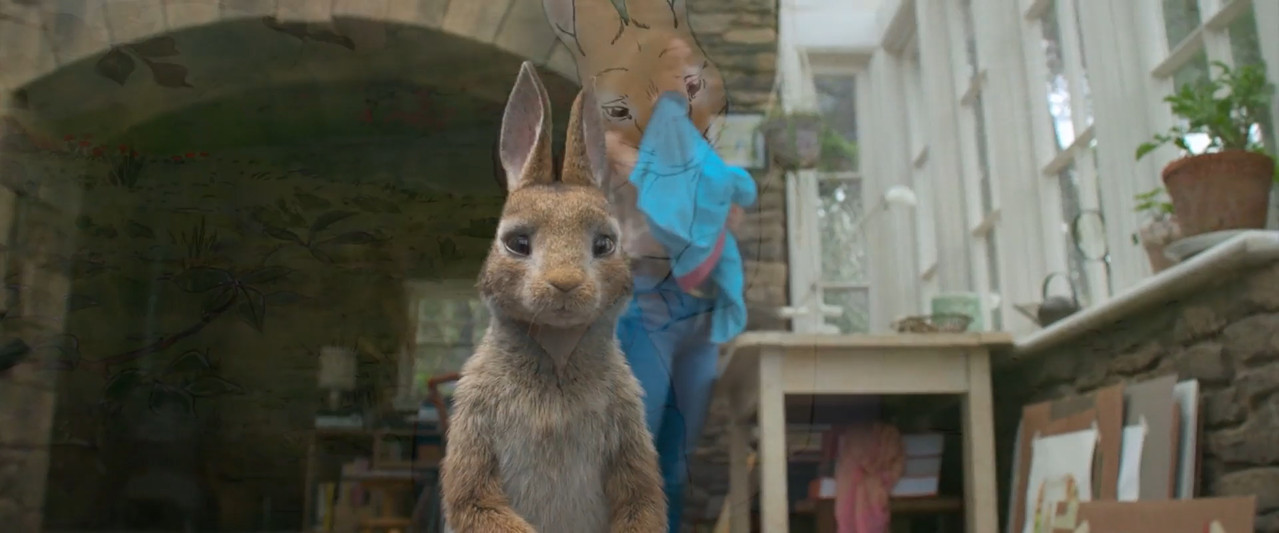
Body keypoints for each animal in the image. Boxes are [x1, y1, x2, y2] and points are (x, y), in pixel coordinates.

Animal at [438, 62, 667, 533]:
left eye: (605, 244)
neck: (558, 358)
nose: (565, 283)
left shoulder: (630, 434)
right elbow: (473, 499)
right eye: (516, 242)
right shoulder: (472, 430)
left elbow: (642, 499)